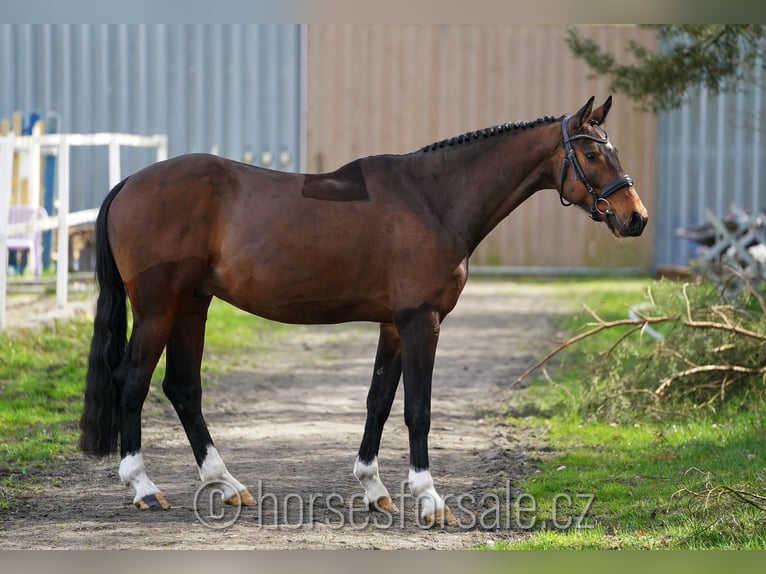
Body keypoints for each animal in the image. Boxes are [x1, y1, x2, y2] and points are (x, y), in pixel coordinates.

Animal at [82, 97, 648, 528]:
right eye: (592, 152)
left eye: (614, 149)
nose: (636, 218)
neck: (432, 199)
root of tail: (129, 182)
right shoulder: (422, 321)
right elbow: (417, 410)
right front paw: (430, 500)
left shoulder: (393, 324)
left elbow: (378, 401)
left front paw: (374, 489)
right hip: (159, 306)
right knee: (132, 381)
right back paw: (144, 487)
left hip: (192, 305)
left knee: (183, 388)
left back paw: (225, 483)